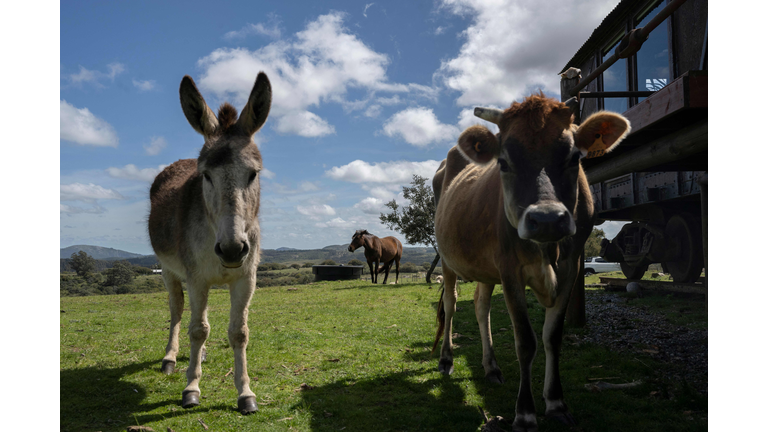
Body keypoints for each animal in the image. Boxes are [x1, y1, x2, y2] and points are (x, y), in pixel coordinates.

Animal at [432, 93, 632, 430]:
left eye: (574, 158)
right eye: (503, 162)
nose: (547, 219)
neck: (547, 251)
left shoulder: (571, 267)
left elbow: (552, 337)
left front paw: (556, 402)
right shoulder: (510, 269)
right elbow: (525, 342)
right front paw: (525, 413)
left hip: (485, 267)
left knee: (481, 306)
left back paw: (491, 367)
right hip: (448, 259)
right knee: (451, 302)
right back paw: (446, 359)